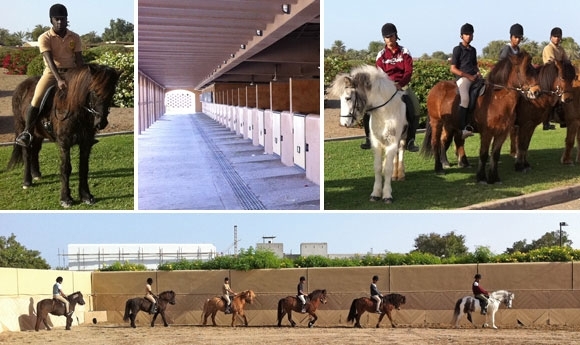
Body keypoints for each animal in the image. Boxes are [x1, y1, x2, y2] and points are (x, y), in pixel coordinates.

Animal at [7, 63, 120, 207]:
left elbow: (84, 168)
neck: (75, 109)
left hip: (38, 134)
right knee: (27, 152)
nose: (101, 123)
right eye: (94, 91)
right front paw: (65, 198)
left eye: (112, 93)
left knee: (35, 151)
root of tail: (21, 86)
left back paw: (36, 174)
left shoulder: (86, 144)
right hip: (23, 127)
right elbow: (66, 168)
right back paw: (27, 181)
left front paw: (86, 196)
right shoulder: (64, 143)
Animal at [328, 65, 406, 202]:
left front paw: (387, 195)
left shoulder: (392, 142)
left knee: (400, 150)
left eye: (348, 98)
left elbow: (388, 168)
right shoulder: (376, 142)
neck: (385, 113)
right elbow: (378, 167)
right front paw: (376, 193)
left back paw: (400, 174)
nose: (343, 124)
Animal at [420, 51, 536, 183]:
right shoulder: (486, 133)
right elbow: (484, 154)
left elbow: (495, 155)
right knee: (436, 142)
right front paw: (481, 178)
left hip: (450, 124)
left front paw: (494, 178)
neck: (496, 99)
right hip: (437, 122)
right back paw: (439, 168)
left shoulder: (502, 133)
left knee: (448, 140)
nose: (536, 91)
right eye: (526, 70)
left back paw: (451, 162)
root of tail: (434, 88)